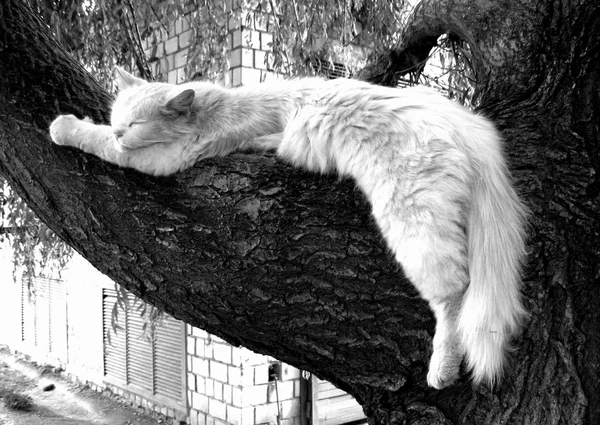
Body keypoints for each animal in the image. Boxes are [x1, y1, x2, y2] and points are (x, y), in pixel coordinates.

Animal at [49, 68, 528, 390]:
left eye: (133, 125)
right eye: (117, 116)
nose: (119, 129)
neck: (216, 104)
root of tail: (464, 123)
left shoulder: (157, 158)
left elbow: (95, 141)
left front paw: (64, 126)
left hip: (414, 226)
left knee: (455, 295)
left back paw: (441, 370)